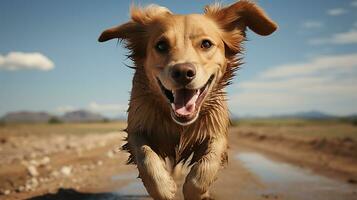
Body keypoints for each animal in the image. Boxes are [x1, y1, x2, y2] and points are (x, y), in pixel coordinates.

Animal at [98, 0, 276, 199]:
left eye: (206, 44)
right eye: (161, 45)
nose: (183, 72)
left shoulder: (216, 130)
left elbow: (206, 167)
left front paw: (199, 193)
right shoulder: (137, 127)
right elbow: (146, 157)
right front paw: (165, 187)